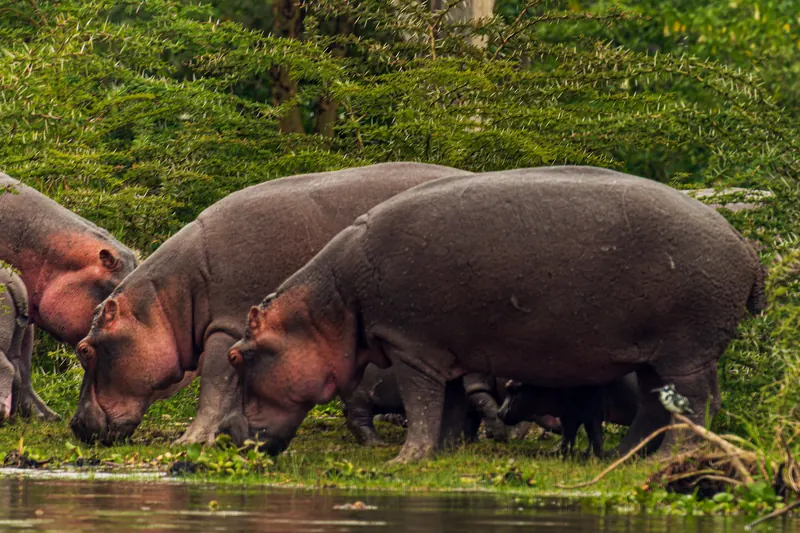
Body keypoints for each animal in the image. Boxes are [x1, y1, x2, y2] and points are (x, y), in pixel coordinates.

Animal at [69, 163, 473, 445]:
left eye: (85, 349)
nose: (75, 424)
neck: (168, 301)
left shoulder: (228, 325)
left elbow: (214, 386)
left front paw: (190, 440)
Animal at [497, 374, 639, 458]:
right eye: (507, 386)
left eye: (514, 388)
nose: (499, 412)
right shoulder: (569, 415)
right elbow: (567, 435)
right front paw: (557, 452)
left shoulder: (591, 414)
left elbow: (595, 436)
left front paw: (597, 457)